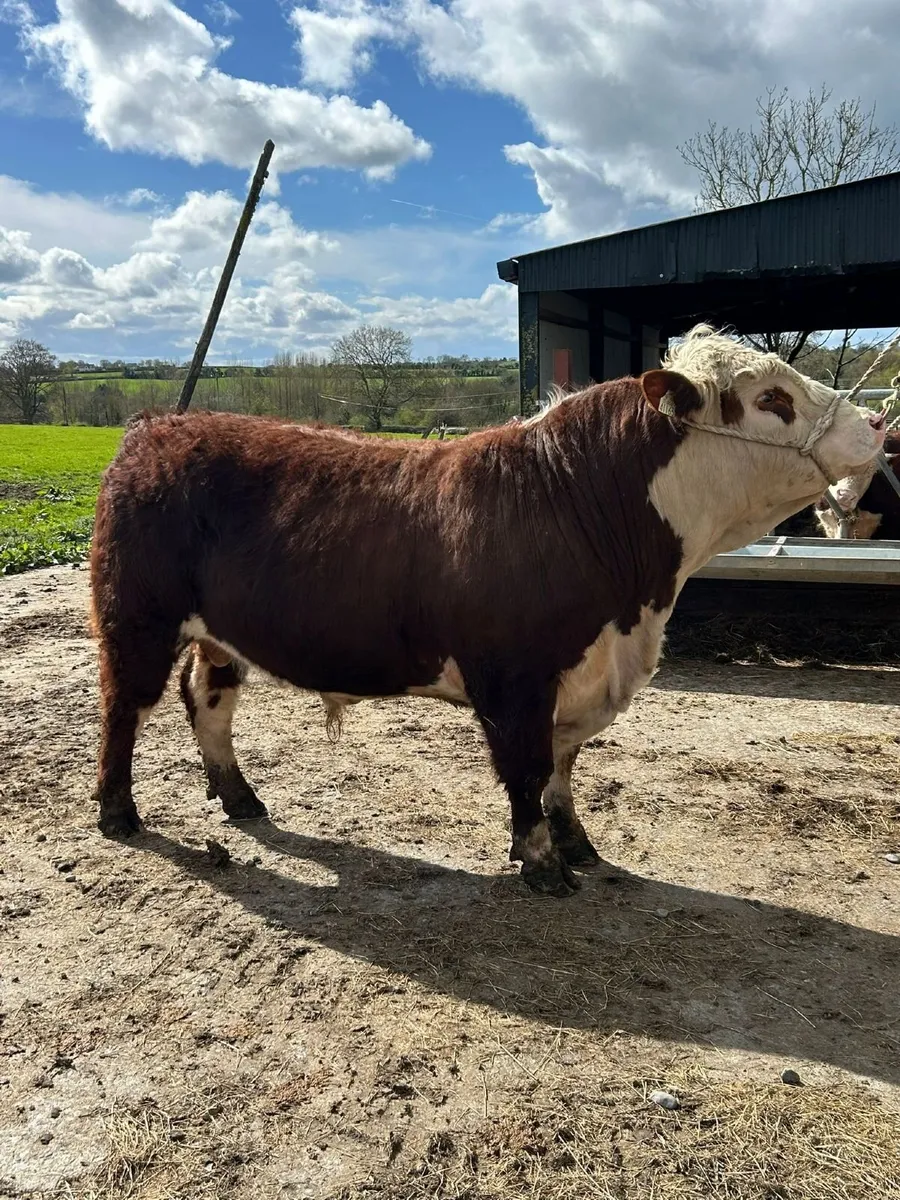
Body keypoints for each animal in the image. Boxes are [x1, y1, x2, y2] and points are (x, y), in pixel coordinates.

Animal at [89, 325, 885, 897]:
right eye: (773, 399)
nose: (878, 423)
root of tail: (157, 426)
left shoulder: (580, 674)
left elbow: (564, 762)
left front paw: (576, 844)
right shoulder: (515, 678)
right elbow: (527, 766)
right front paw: (542, 863)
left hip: (219, 635)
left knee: (209, 702)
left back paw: (238, 796)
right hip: (136, 619)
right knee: (124, 708)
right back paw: (118, 812)